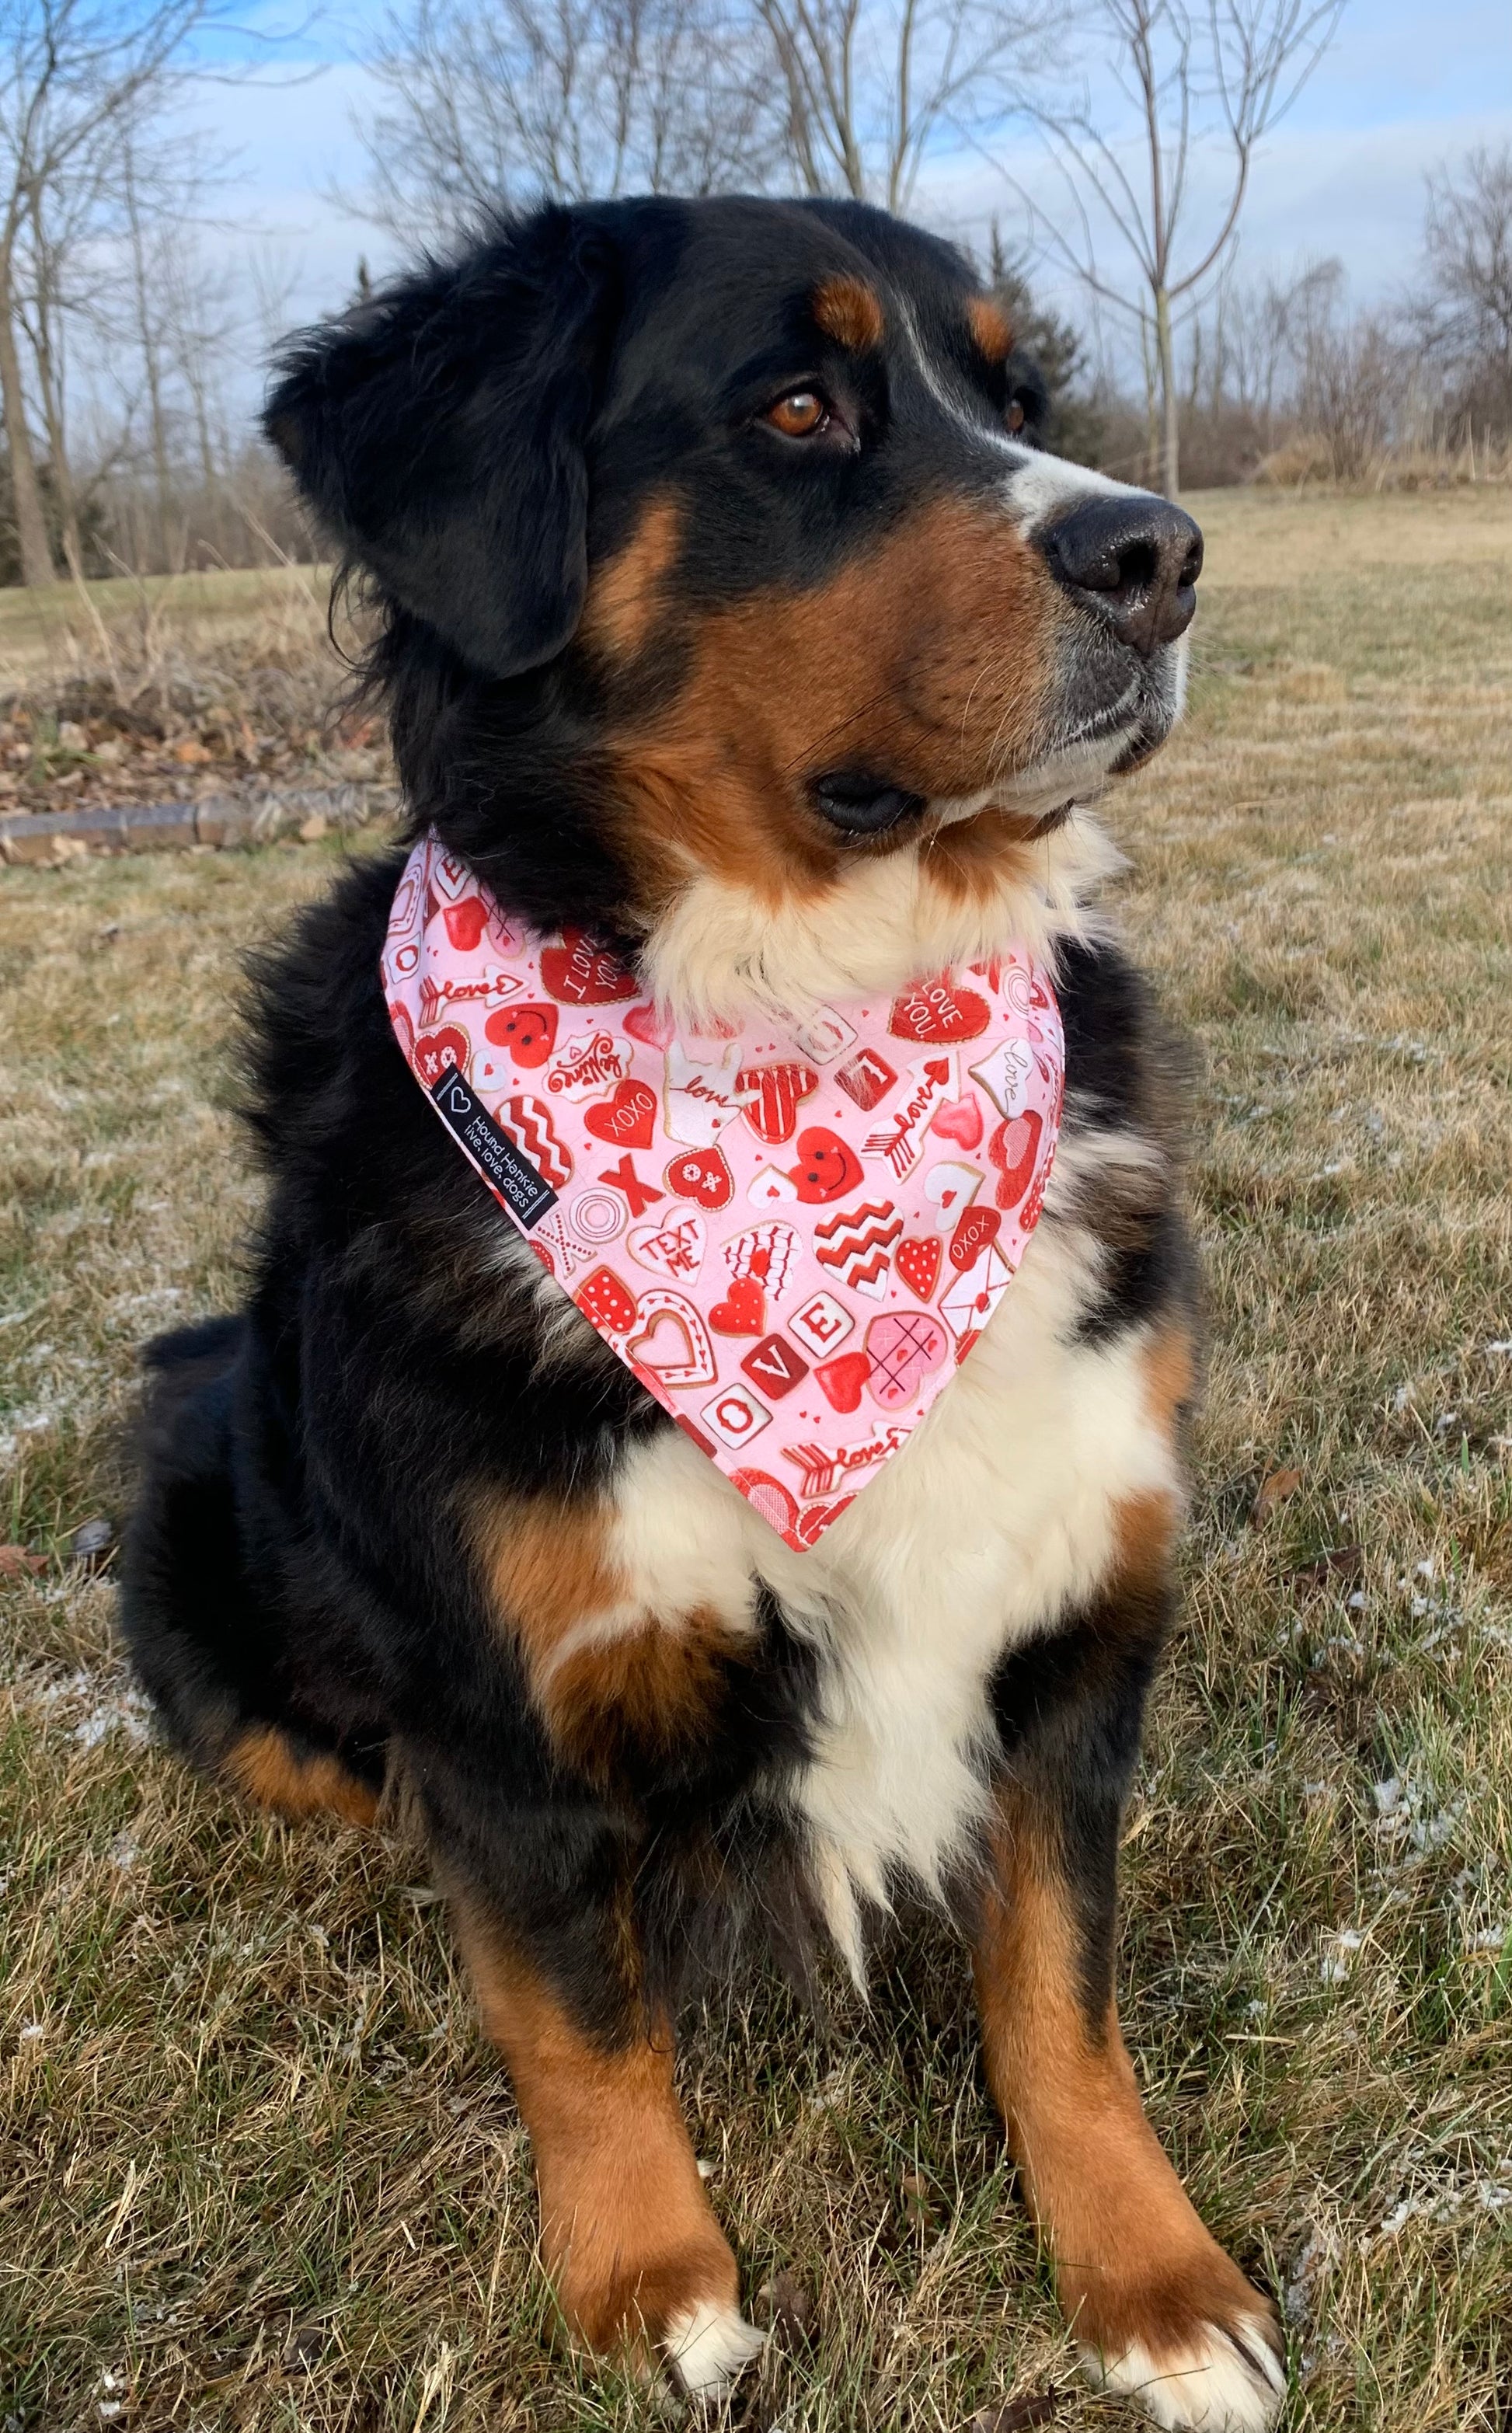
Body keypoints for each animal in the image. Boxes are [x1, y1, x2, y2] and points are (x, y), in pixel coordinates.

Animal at [124, 199, 1293, 2423]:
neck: (805, 1032)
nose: (1163, 552)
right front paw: (652, 2286)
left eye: (1019, 393)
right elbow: (582, 2025)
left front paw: (1154, 2278)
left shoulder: (1081, 1618)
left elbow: (1061, 1989)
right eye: (797, 408)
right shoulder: (504, 1703)